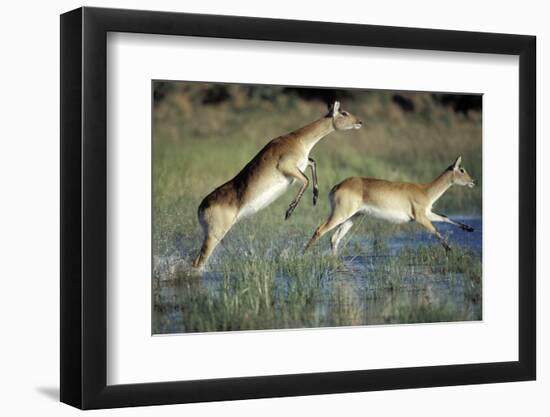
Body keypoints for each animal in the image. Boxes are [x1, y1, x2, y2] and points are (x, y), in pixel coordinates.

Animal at [192, 102, 364, 268]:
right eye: (344, 112)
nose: (360, 122)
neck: (297, 140)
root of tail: (201, 207)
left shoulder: (302, 165)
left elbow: (313, 163)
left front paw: (315, 197)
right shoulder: (286, 168)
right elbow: (306, 180)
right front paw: (289, 212)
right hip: (214, 235)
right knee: (198, 262)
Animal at [306, 156, 478, 254]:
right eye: (462, 169)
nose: (473, 181)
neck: (425, 191)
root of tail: (336, 186)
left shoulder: (427, 213)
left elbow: (445, 217)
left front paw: (469, 228)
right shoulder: (420, 217)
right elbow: (436, 230)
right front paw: (449, 250)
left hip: (351, 217)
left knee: (335, 238)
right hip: (340, 214)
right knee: (320, 230)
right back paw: (303, 254)